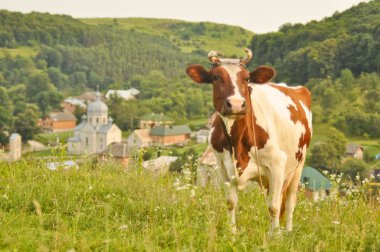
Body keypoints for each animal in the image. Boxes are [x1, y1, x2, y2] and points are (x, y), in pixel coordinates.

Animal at [186, 49, 314, 234]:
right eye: (215, 77)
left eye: (246, 79)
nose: (236, 104)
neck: (237, 142)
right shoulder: (222, 167)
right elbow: (231, 202)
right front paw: (232, 232)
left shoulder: (277, 163)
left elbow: (274, 206)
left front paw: (275, 236)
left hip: (298, 165)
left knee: (289, 201)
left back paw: (288, 231)